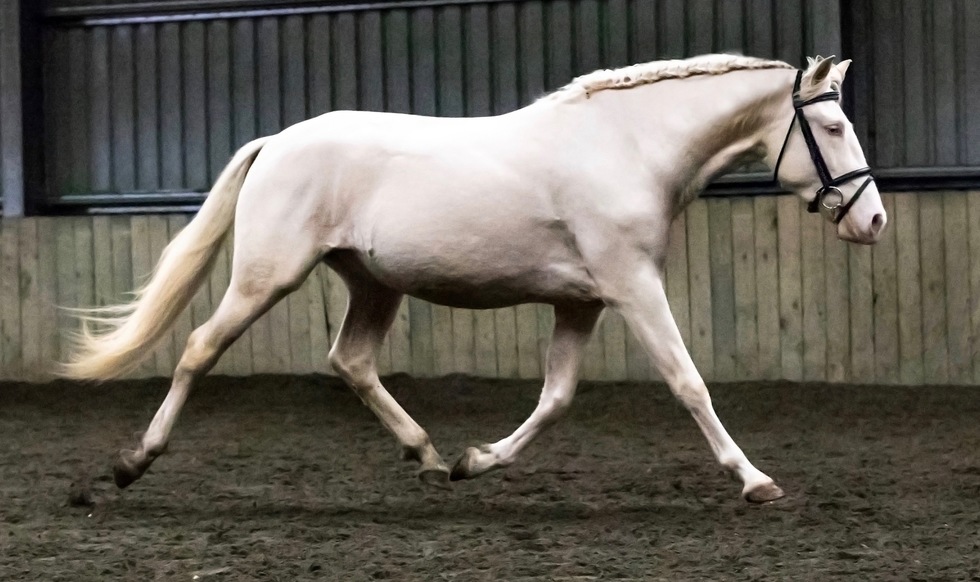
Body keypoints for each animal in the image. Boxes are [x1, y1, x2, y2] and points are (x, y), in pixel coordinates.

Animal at [62, 54, 886, 504]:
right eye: (835, 127)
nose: (873, 222)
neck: (630, 147)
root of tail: (277, 141)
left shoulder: (582, 303)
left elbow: (555, 400)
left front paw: (476, 461)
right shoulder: (631, 288)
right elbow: (689, 384)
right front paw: (755, 480)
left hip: (373, 283)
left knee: (350, 360)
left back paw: (427, 456)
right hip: (268, 276)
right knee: (201, 347)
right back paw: (132, 464)